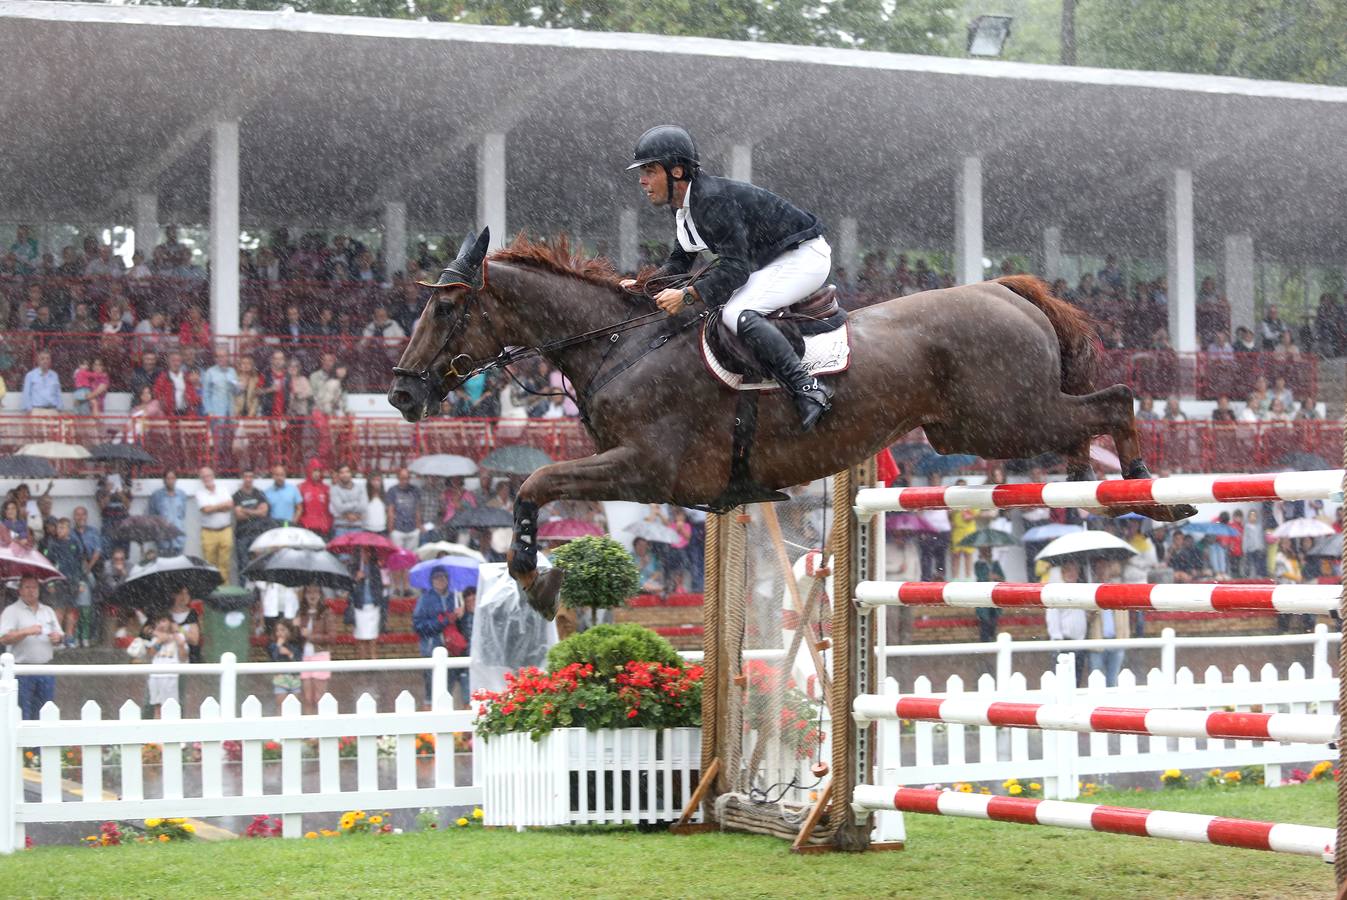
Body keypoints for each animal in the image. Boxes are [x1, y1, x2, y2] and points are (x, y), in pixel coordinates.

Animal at [387, 229, 1190, 614]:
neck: (623, 345)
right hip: (968, 430)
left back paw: (1149, 493)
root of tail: (1005, 288)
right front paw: (537, 579)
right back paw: (1094, 482)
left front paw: (536, 582)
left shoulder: (650, 468)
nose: (399, 394)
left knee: (1116, 399)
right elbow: (537, 487)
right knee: (1083, 419)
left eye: (448, 307)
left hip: (1000, 418)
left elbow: (534, 485)